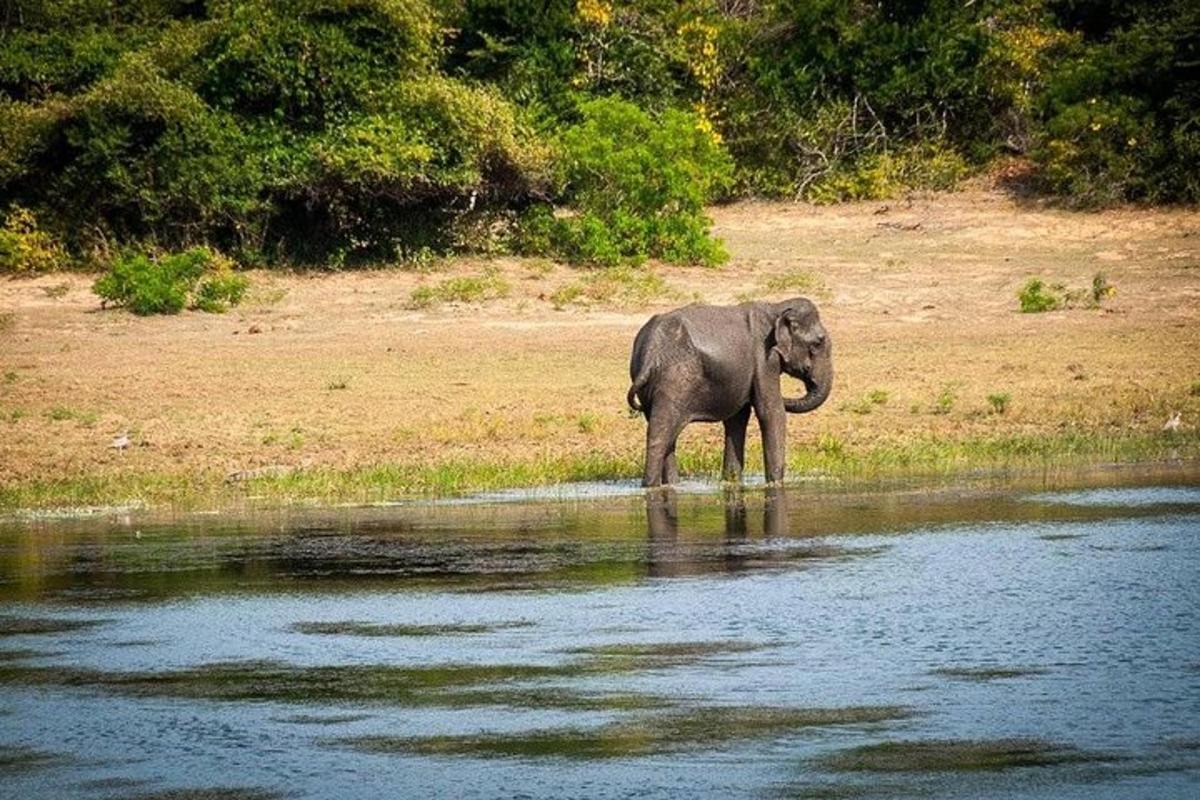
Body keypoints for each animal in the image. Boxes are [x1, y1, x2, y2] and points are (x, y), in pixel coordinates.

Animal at [628, 298, 835, 489]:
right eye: (818, 342)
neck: (776, 307)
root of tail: (650, 351)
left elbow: (738, 418)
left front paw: (732, 482)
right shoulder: (765, 359)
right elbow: (771, 412)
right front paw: (776, 485)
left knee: (668, 437)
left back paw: (671, 486)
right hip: (674, 380)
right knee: (660, 435)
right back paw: (650, 486)